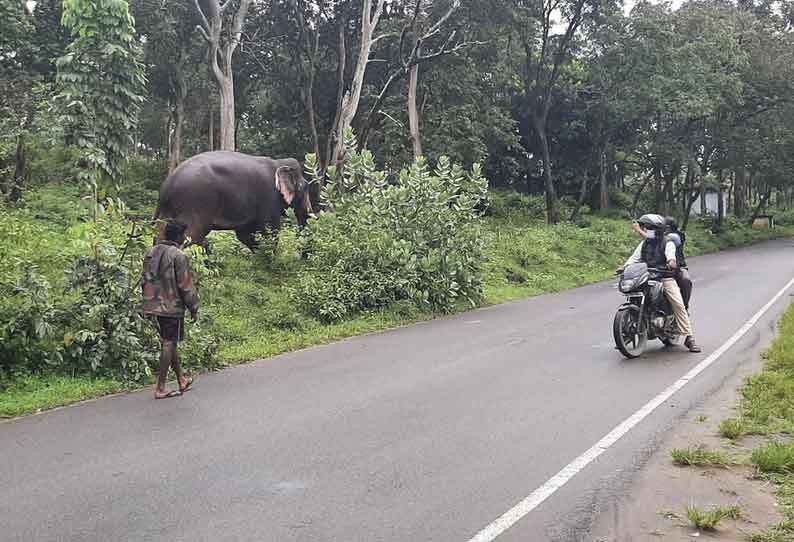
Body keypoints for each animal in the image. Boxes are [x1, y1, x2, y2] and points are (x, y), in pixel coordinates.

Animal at [153, 149, 314, 251]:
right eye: (305, 187)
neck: (278, 163)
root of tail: (168, 184)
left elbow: (245, 235)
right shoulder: (269, 198)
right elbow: (270, 232)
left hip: (169, 209)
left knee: (162, 234)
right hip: (196, 203)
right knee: (192, 236)